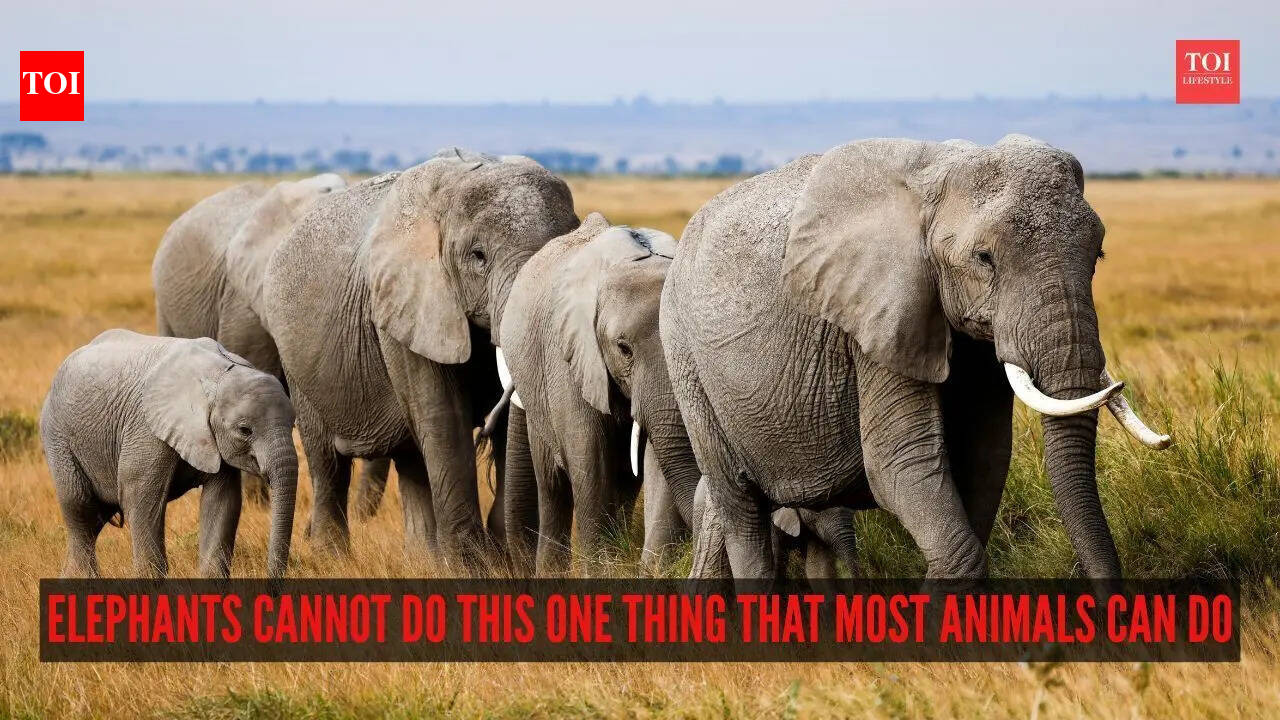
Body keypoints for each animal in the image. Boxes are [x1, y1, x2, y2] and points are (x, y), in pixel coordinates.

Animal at [40, 330, 297, 578]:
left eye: (293, 423)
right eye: (244, 430)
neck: (217, 374)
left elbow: (223, 501)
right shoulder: (146, 429)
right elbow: (141, 498)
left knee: (95, 519)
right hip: (58, 437)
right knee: (80, 510)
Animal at [261, 149, 579, 568]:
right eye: (478, 257)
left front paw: (498, 559)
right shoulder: (406, 307)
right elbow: (444, 416)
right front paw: (474, 565)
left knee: (411, 457)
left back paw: (422, 559)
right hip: (297, 362)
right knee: (327, 460)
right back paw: (334, 559)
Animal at [498, 213, 702, 574]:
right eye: (623, 349)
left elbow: (659, 461)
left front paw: (653, 571)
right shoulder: (569, 356)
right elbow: (589, 457)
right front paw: (601, 572)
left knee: (623, 482)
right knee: (552, 484)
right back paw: (551, 571)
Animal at [661, 135, 1170, 580]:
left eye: (1098, 255)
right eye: (984, 258)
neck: (942, 174)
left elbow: (985, 457)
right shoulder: (877, 317)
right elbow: (899, 462)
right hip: (683, 356)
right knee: (739, 507)